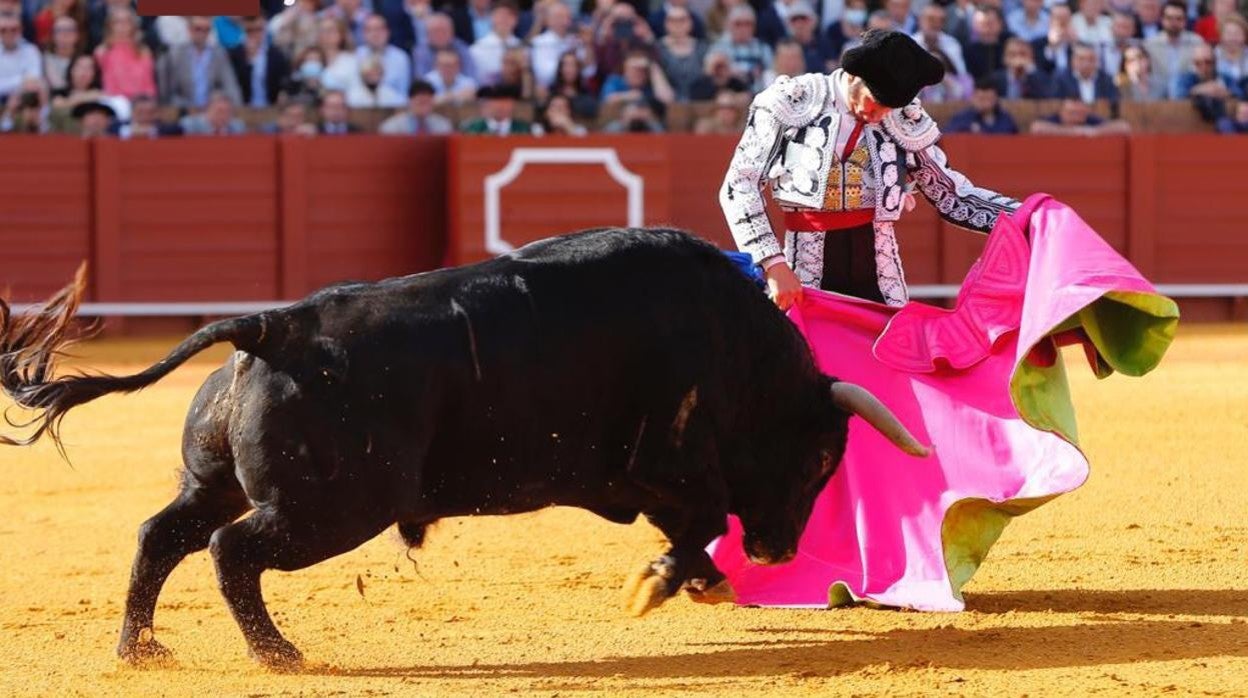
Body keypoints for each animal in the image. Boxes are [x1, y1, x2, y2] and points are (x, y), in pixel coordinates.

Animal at [0, 229, 928, 674]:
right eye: (819, 461)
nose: (778, 550)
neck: (738, 346)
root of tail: (273, 326)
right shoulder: (667, 465)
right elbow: (695, 521)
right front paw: (662, 585)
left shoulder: (651, 479)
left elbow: (691, 529)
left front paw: (698, 581)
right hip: (331, 509)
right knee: (232, 550)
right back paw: (278, 654)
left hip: (219, 482)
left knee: (165, 534)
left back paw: (140, 648)